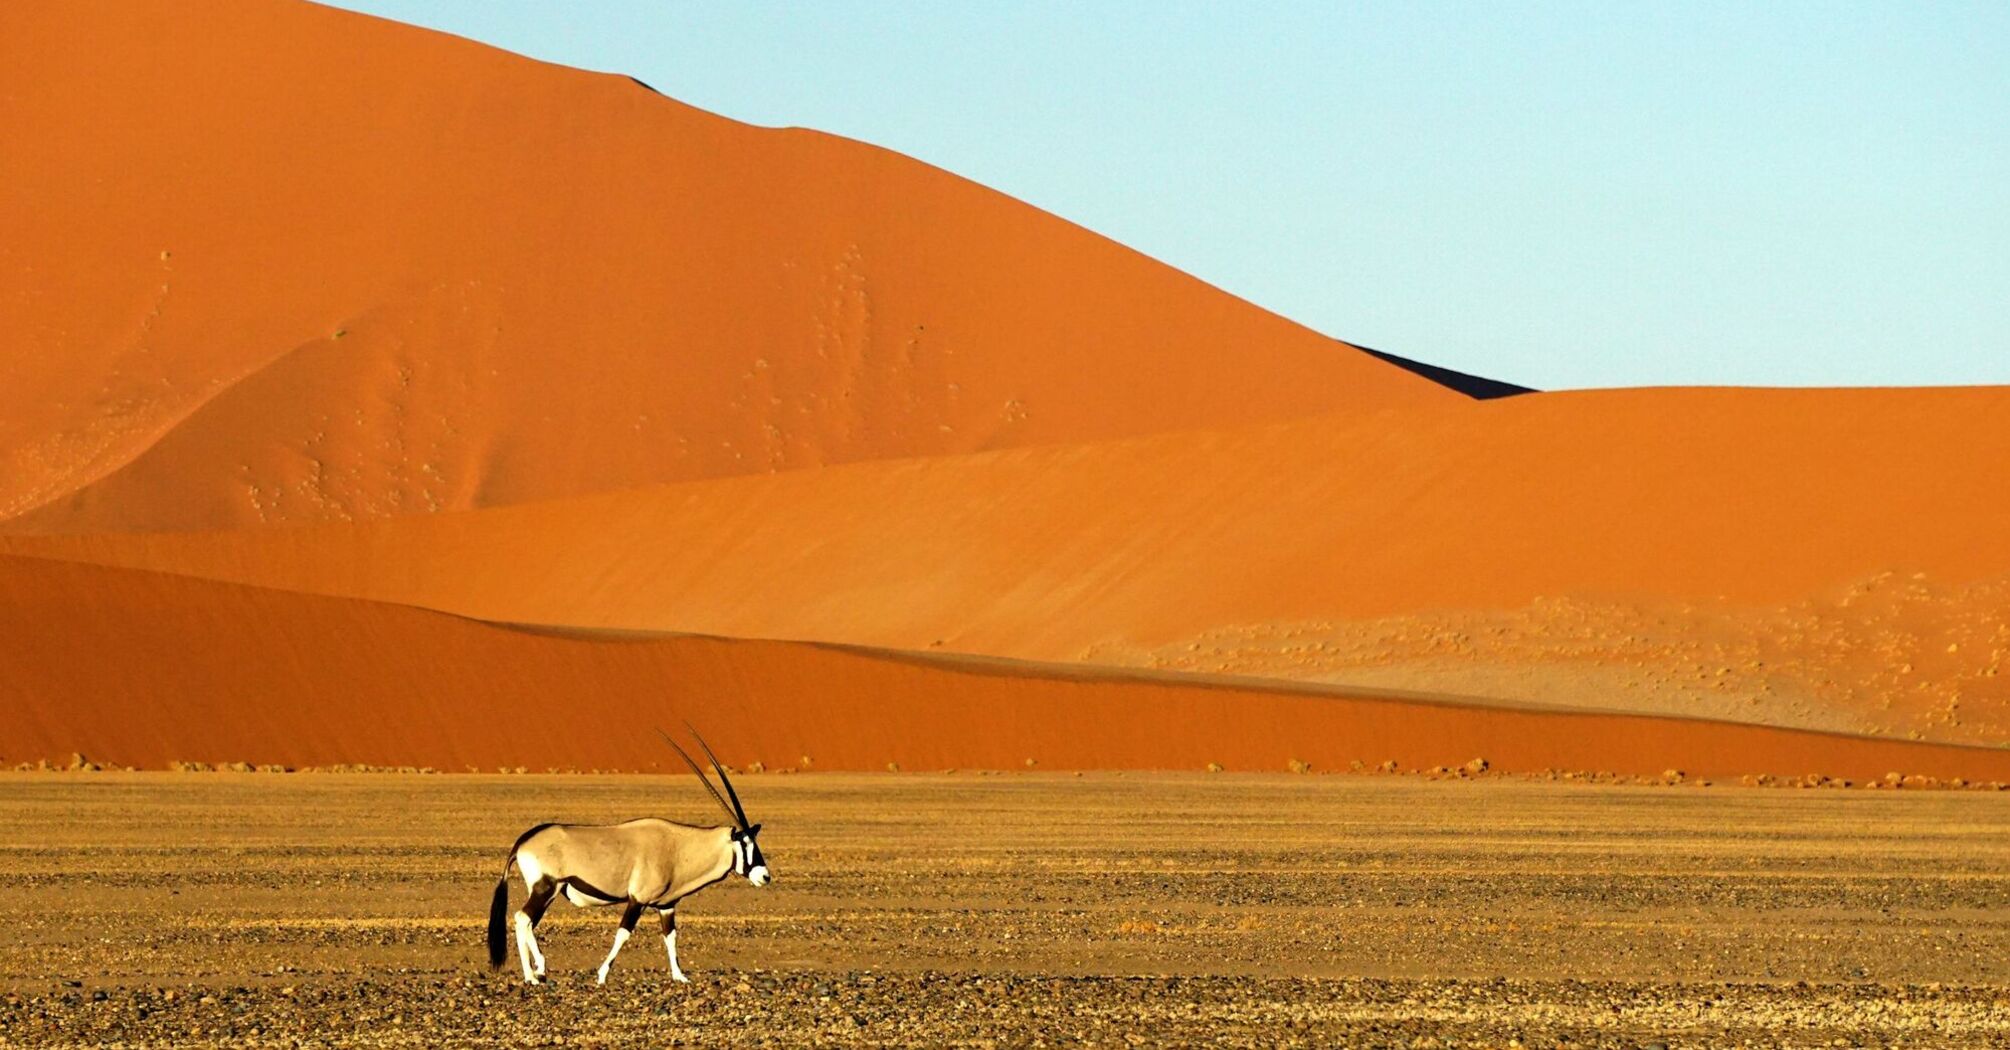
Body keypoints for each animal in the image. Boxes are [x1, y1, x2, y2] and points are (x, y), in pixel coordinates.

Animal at [486, 728, 770, 986]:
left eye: (756, 842)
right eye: (745, 843)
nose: (765, 876)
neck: (678, 847)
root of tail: (524, 841)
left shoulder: (666, 905)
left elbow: (671, 937)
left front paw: (680, 976)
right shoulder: (638, 900)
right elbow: (623, 934)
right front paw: (601, 976)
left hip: (550, 892)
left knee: (527, 923)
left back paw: (538, 971)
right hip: (546, 887)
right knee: (523, 919)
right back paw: (532, 975)